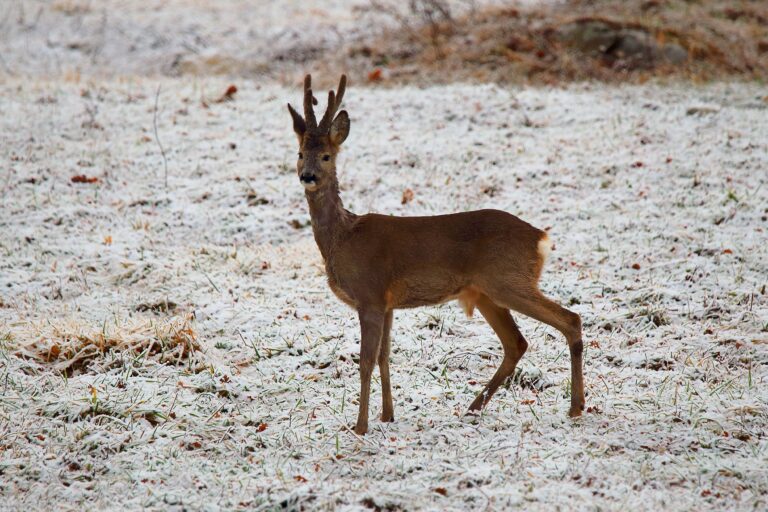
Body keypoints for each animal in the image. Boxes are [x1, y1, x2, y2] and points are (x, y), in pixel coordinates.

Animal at [284, 75, 584, 436]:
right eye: (300, 153)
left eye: (327, 156)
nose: (308, 176)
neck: (342, 238)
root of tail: (541, 238)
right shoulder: (387, 303)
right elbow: (385, 356)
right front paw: (387, 416)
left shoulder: (369, 295)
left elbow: (366, 360)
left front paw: (360, 426)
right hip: (487, 292)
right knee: (517, 342)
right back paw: (473, 407)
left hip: (508, 280)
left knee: (570, 320)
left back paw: (575, 407)